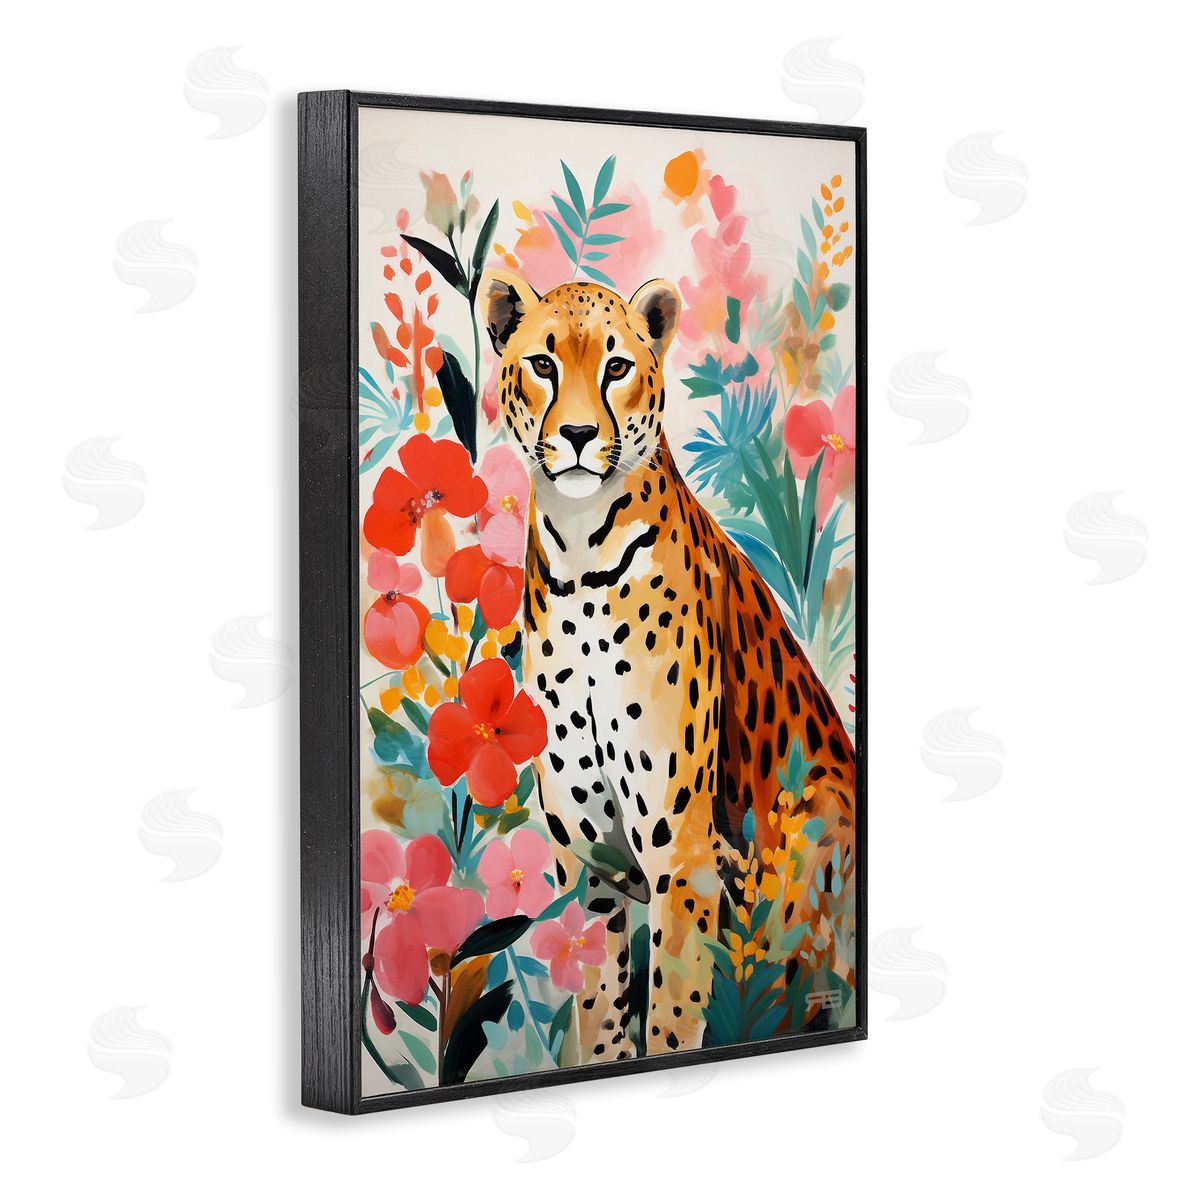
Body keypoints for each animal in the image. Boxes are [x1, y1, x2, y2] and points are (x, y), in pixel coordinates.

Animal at [478, 269, 857, 1064]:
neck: (581, 565)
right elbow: (599, 1009)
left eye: (617, 366)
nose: (580, 436)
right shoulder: (589, 871)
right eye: (543, 364)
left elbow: (674, 1016)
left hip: (815, 825)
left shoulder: (683, 858)